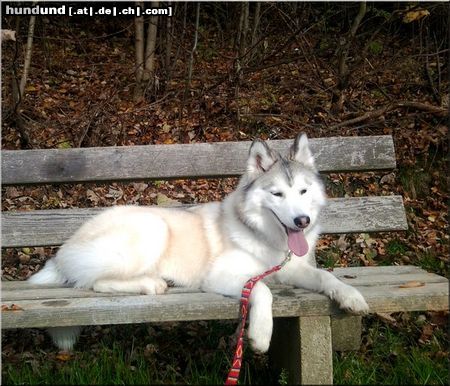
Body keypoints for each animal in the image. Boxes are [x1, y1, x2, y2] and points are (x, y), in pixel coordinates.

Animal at [28, 133, 368, 352]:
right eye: (277, 194)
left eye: (303, 191)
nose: (302, 221)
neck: (265, 236)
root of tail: (64, 248)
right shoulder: (222, 277)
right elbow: (262, 289)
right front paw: (260, 334)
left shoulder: (293, 270)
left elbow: (325, 276)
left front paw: (350, 295)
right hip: (152, 228)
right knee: (92, 282)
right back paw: (150, 283)